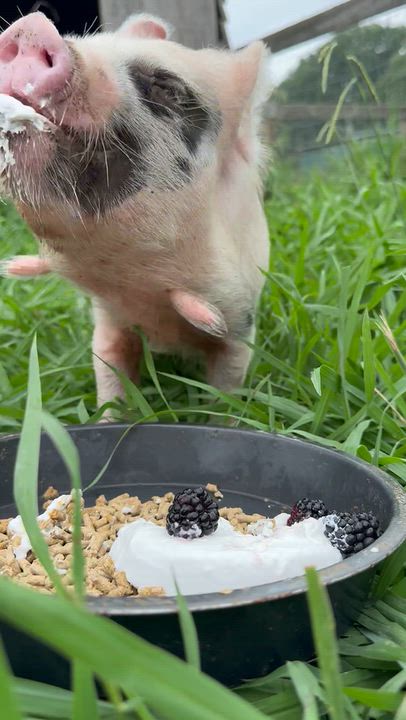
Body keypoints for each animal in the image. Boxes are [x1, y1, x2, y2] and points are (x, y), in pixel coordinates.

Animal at [0, 11, 271, 411]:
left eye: (169, 90)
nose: (30, 26)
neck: (141, 294)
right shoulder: (109, 320)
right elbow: (110, 375)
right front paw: (109, 417)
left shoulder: (240, 326)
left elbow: (225, 394)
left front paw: (215, 414)